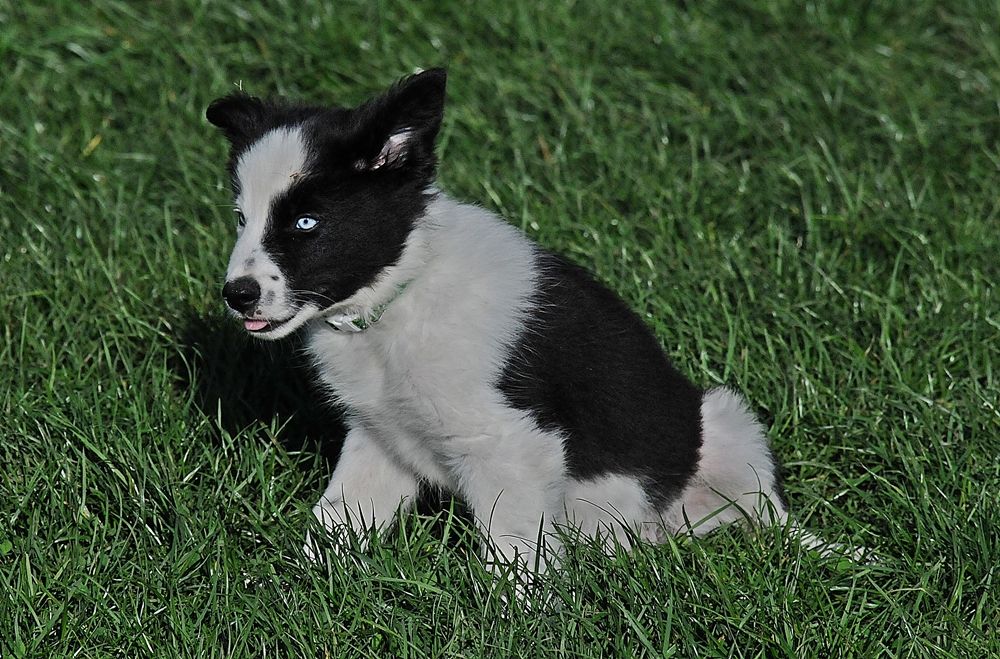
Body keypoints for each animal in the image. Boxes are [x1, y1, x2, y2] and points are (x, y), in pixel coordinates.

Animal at [206, 68, 799, 573]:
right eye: (241, 218)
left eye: (307, 223)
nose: (237, 295)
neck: (400, 298)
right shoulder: (379, 436)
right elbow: (337, 517)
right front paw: (300, 588)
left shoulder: (509, 444)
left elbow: (515, 553)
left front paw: (522, 620)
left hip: (727, 426)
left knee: (767, 517)